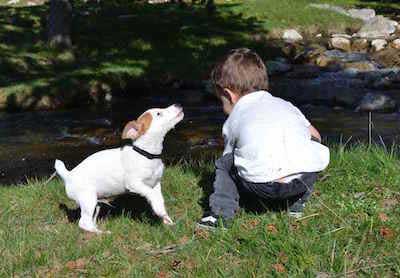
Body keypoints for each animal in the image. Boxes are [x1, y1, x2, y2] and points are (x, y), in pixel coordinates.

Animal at [54, 103, 184, 232]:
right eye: (158, 113)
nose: (178, 104)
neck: (147, 155)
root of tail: (68, 175)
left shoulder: (156, 184)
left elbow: (159, 200)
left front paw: (166, 219)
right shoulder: (134, 183)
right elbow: (150, 194)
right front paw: (159, 211)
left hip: (96, 203)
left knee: (90, 220)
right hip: (88, 199)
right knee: (83, 223)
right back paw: (101, 233)